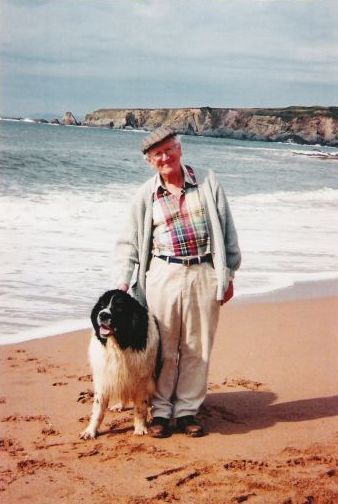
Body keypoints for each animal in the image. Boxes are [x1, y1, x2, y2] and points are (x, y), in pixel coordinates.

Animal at [80, 290, 159, 440]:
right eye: (101, 306)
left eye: (119, 307)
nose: (103, 315)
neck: (119, 344)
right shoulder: (104, 376)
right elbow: (98, 408)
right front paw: (90, 431)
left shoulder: (142, 379)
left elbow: (140, 406)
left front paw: (140, 428)